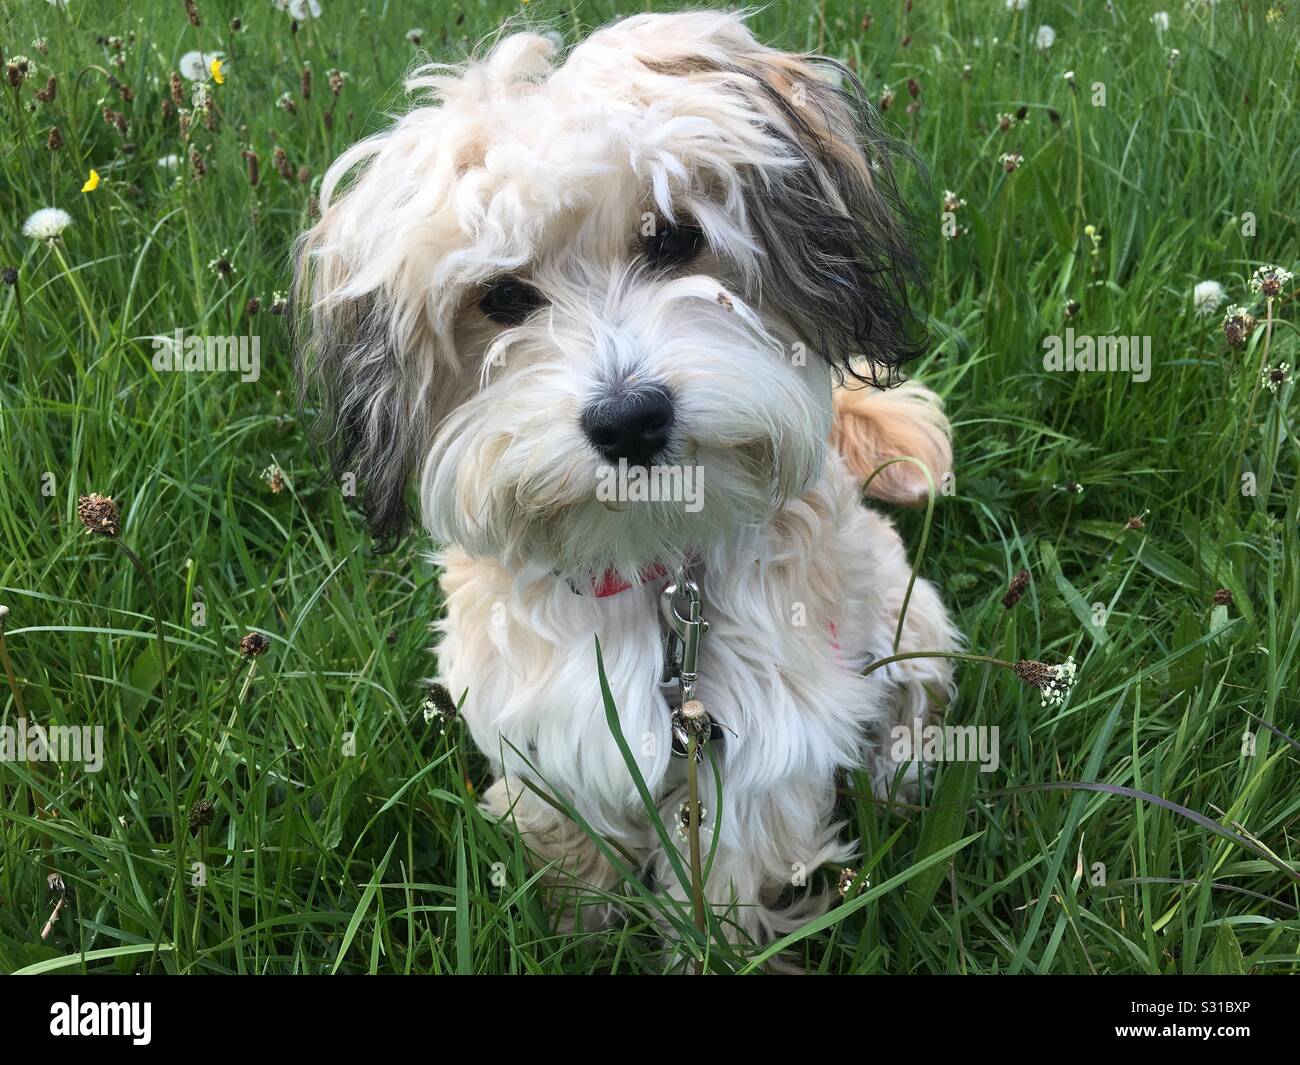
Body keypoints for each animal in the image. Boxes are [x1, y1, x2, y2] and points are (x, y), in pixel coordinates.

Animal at [299, 10, 961, 951]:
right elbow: (569, 848)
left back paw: (899, 775)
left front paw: (714, 948)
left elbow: (725, 886)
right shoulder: (551, 733)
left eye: (675, 238)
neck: (653, 572)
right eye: (502, 297)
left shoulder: (761, 748)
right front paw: (577, 927)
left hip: (911, 614)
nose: (629, 420)